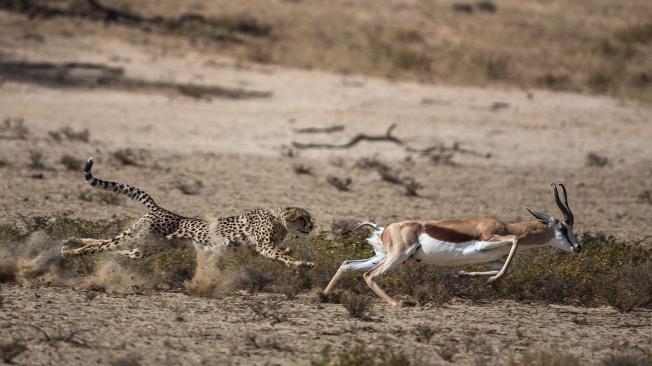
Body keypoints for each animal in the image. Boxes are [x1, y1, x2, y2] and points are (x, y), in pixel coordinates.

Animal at [59, 157, 314, 266]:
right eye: (303, 218)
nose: (313, 226)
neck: (279, 221)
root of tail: (160, 208)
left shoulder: (255, 248)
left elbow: (280, 252)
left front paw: (292, 254)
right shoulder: (264, 244)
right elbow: (281, 254)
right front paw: (301, 263)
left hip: (141, 248)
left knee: (105, 245)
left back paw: (69, 243)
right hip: (137, 238)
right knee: (100, 245)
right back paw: (70, 252)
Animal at [326, 183, 580, 306]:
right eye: (563, 227)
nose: (578, 247)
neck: (506, 226)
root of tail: (383, 228)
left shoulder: (492, 257)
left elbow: (503, 267)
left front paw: (464, 274)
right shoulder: (487, 242)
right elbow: (515, 244)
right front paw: (490, 281)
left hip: (382, 256)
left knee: (348, 264)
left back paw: (325, 295)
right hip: (398, 255)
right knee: (370, 275)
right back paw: (398, 303)